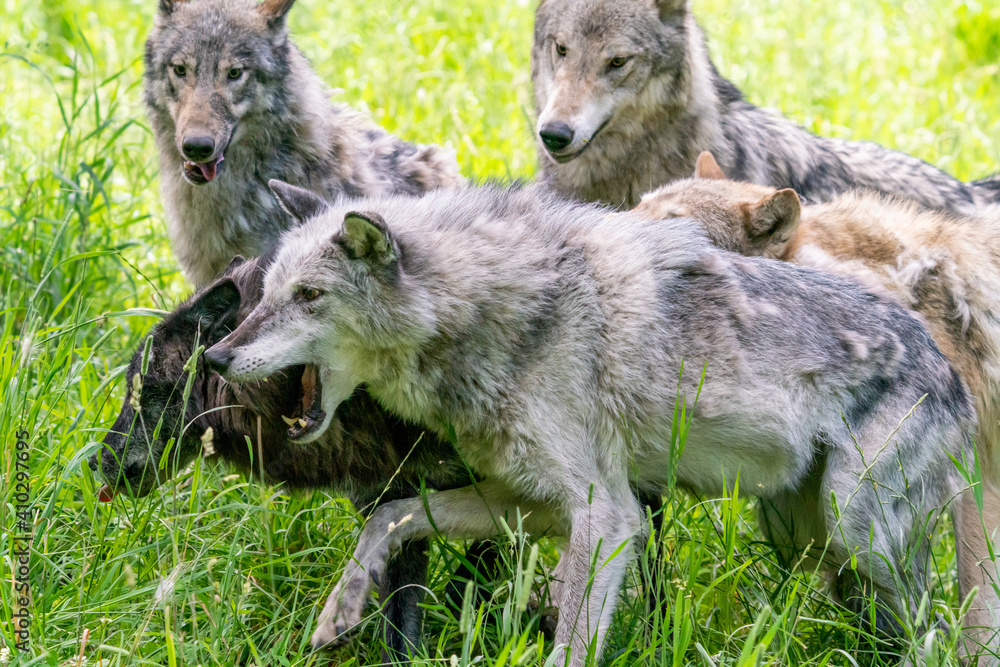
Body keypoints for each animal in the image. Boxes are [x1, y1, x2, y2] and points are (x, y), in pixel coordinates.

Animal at [87, 253, 484, 663]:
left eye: (142, 389)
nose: (95, 462)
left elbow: (480, 562)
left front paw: (465, 608)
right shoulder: (392, 503)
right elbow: (401, 623)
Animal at [204, 180, 976, 665]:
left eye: (309, 296)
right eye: (266, 294)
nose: (216, 354)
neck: (497, 312)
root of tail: (952, 375)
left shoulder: (607, 515)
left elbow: (571, 643)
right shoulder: (536, 504)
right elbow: (391, 516)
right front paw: (340, 611)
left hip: (853, 534)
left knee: (936, 628)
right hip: (806, 542)